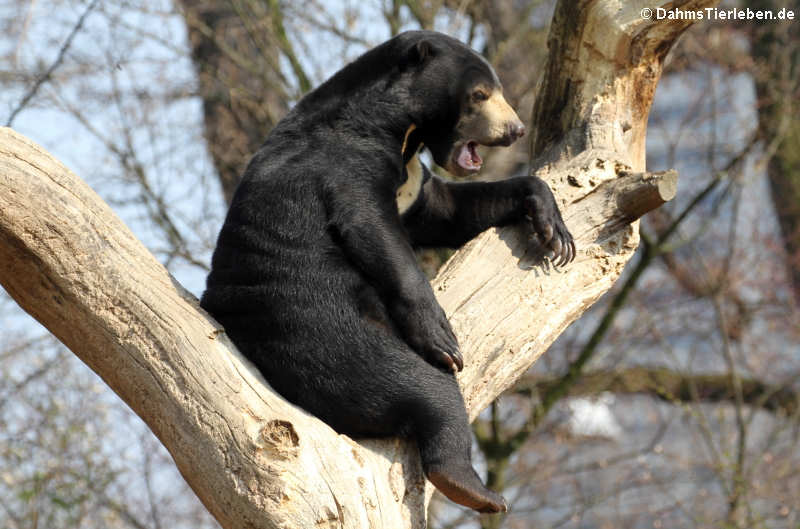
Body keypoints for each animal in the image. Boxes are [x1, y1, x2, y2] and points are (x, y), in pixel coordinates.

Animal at [200, 28, 576, 512]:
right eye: (479, 94)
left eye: (497, 91)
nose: (515, 131)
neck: (402, 134)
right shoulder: (345, 163)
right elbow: (371, 228)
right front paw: (439, 333)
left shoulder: (413, 181)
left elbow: (448, 209)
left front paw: (555, 233)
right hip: (323, 331)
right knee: (426, 389)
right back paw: (477, 489)